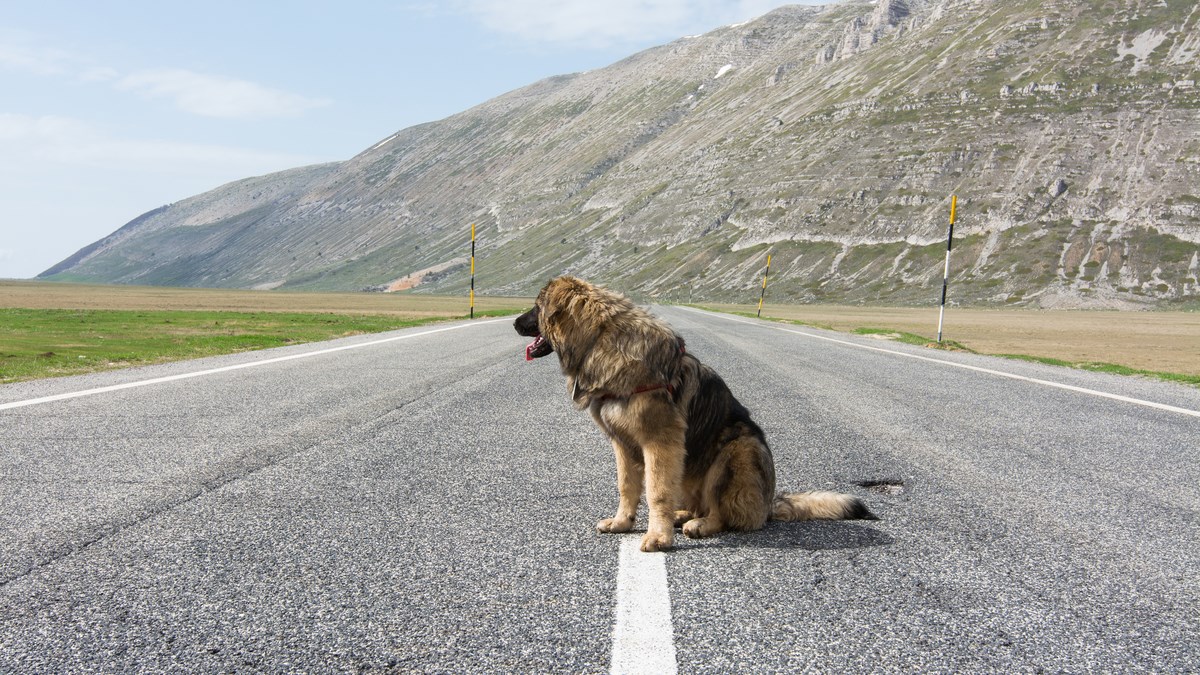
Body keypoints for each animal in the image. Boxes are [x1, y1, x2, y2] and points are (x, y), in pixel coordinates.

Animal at [513, 276, 873, 550]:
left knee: (725, 514)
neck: (599, 342)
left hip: (736, 452)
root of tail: (769, 504)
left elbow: (656, 491)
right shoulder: (623, 445)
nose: (515, 323)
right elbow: (627, 487)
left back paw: (699, 524)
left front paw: (657, 538)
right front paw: (621, 522)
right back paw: (682, 514)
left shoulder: (659, 443)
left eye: (536, 307)